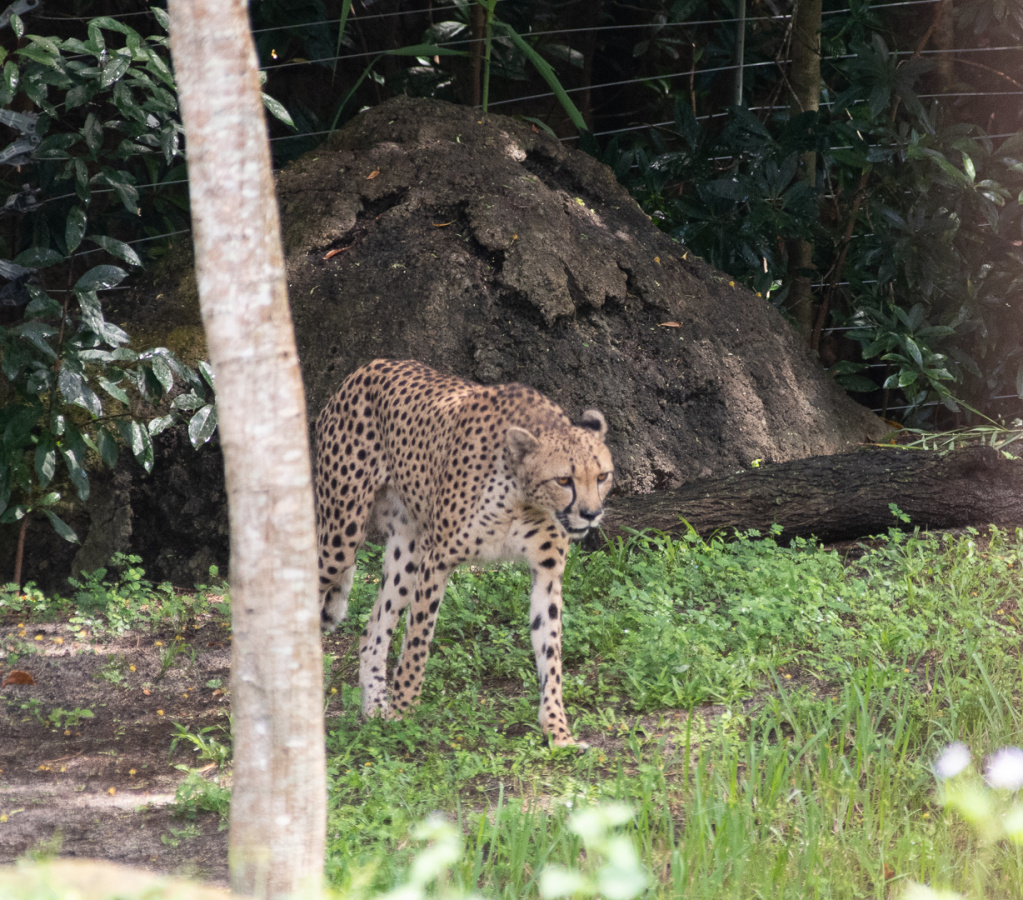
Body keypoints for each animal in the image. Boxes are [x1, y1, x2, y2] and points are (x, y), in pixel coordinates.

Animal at [314, 358, 614, 747]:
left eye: (603, 476)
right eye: (564, 480)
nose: (591, 514)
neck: (522, 498)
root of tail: (369, 365)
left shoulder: (546, 570)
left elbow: (550, 652)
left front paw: (558, 730)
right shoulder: (437, 561)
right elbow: (417, 645)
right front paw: (405, 715)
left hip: (407, 548)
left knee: (372, 631)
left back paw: (376, 711)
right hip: (341, 536)